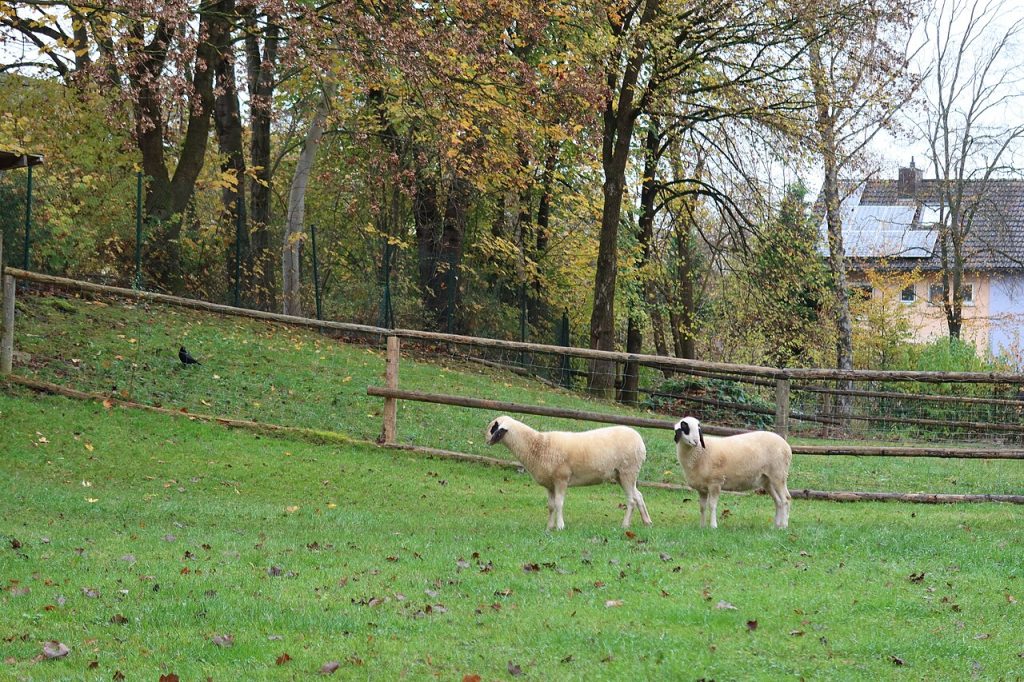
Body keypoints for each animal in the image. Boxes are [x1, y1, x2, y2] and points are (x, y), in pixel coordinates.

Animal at [485, 415, 652, 530]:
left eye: (495, 429)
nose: (486, 441)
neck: (538, 445)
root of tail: (640, 442)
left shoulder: (561, 479)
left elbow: (559, 503)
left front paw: (560, 526)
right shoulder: (550, 484)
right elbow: (551, 505)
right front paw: (549, 527)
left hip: (628, 471)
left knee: (631, 500)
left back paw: (625, 525)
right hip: (622, 474)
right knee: (638, 496)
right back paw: (647, 522)